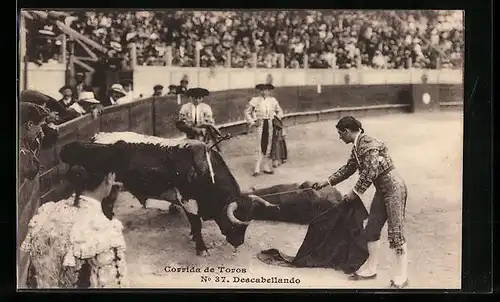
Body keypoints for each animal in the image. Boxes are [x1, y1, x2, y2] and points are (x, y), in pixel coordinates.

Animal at [90, 132, 278, 255]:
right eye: (235, 222)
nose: (238, 243)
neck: (205, 172)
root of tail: (97, 137)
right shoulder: (188, 201)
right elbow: (196, 224)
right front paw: (201, 248)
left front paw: (194, 238)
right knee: (106, 207)